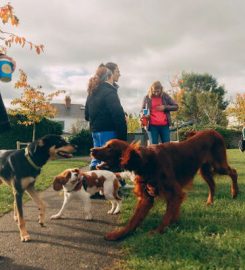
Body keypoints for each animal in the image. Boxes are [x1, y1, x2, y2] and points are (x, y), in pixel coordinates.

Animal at [91, 130, 238, 242]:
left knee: (233, 172)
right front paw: (119, 234)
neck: (146, 162)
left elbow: (166, 216)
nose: (92, 149)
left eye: (110, 147)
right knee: (212, 185)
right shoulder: (146, 197)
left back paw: (234, 193)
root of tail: (214, 131)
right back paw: (210, 201)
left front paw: (157, 231)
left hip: (218, 166)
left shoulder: (175, 193)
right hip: (205, 170)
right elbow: (134, 220)